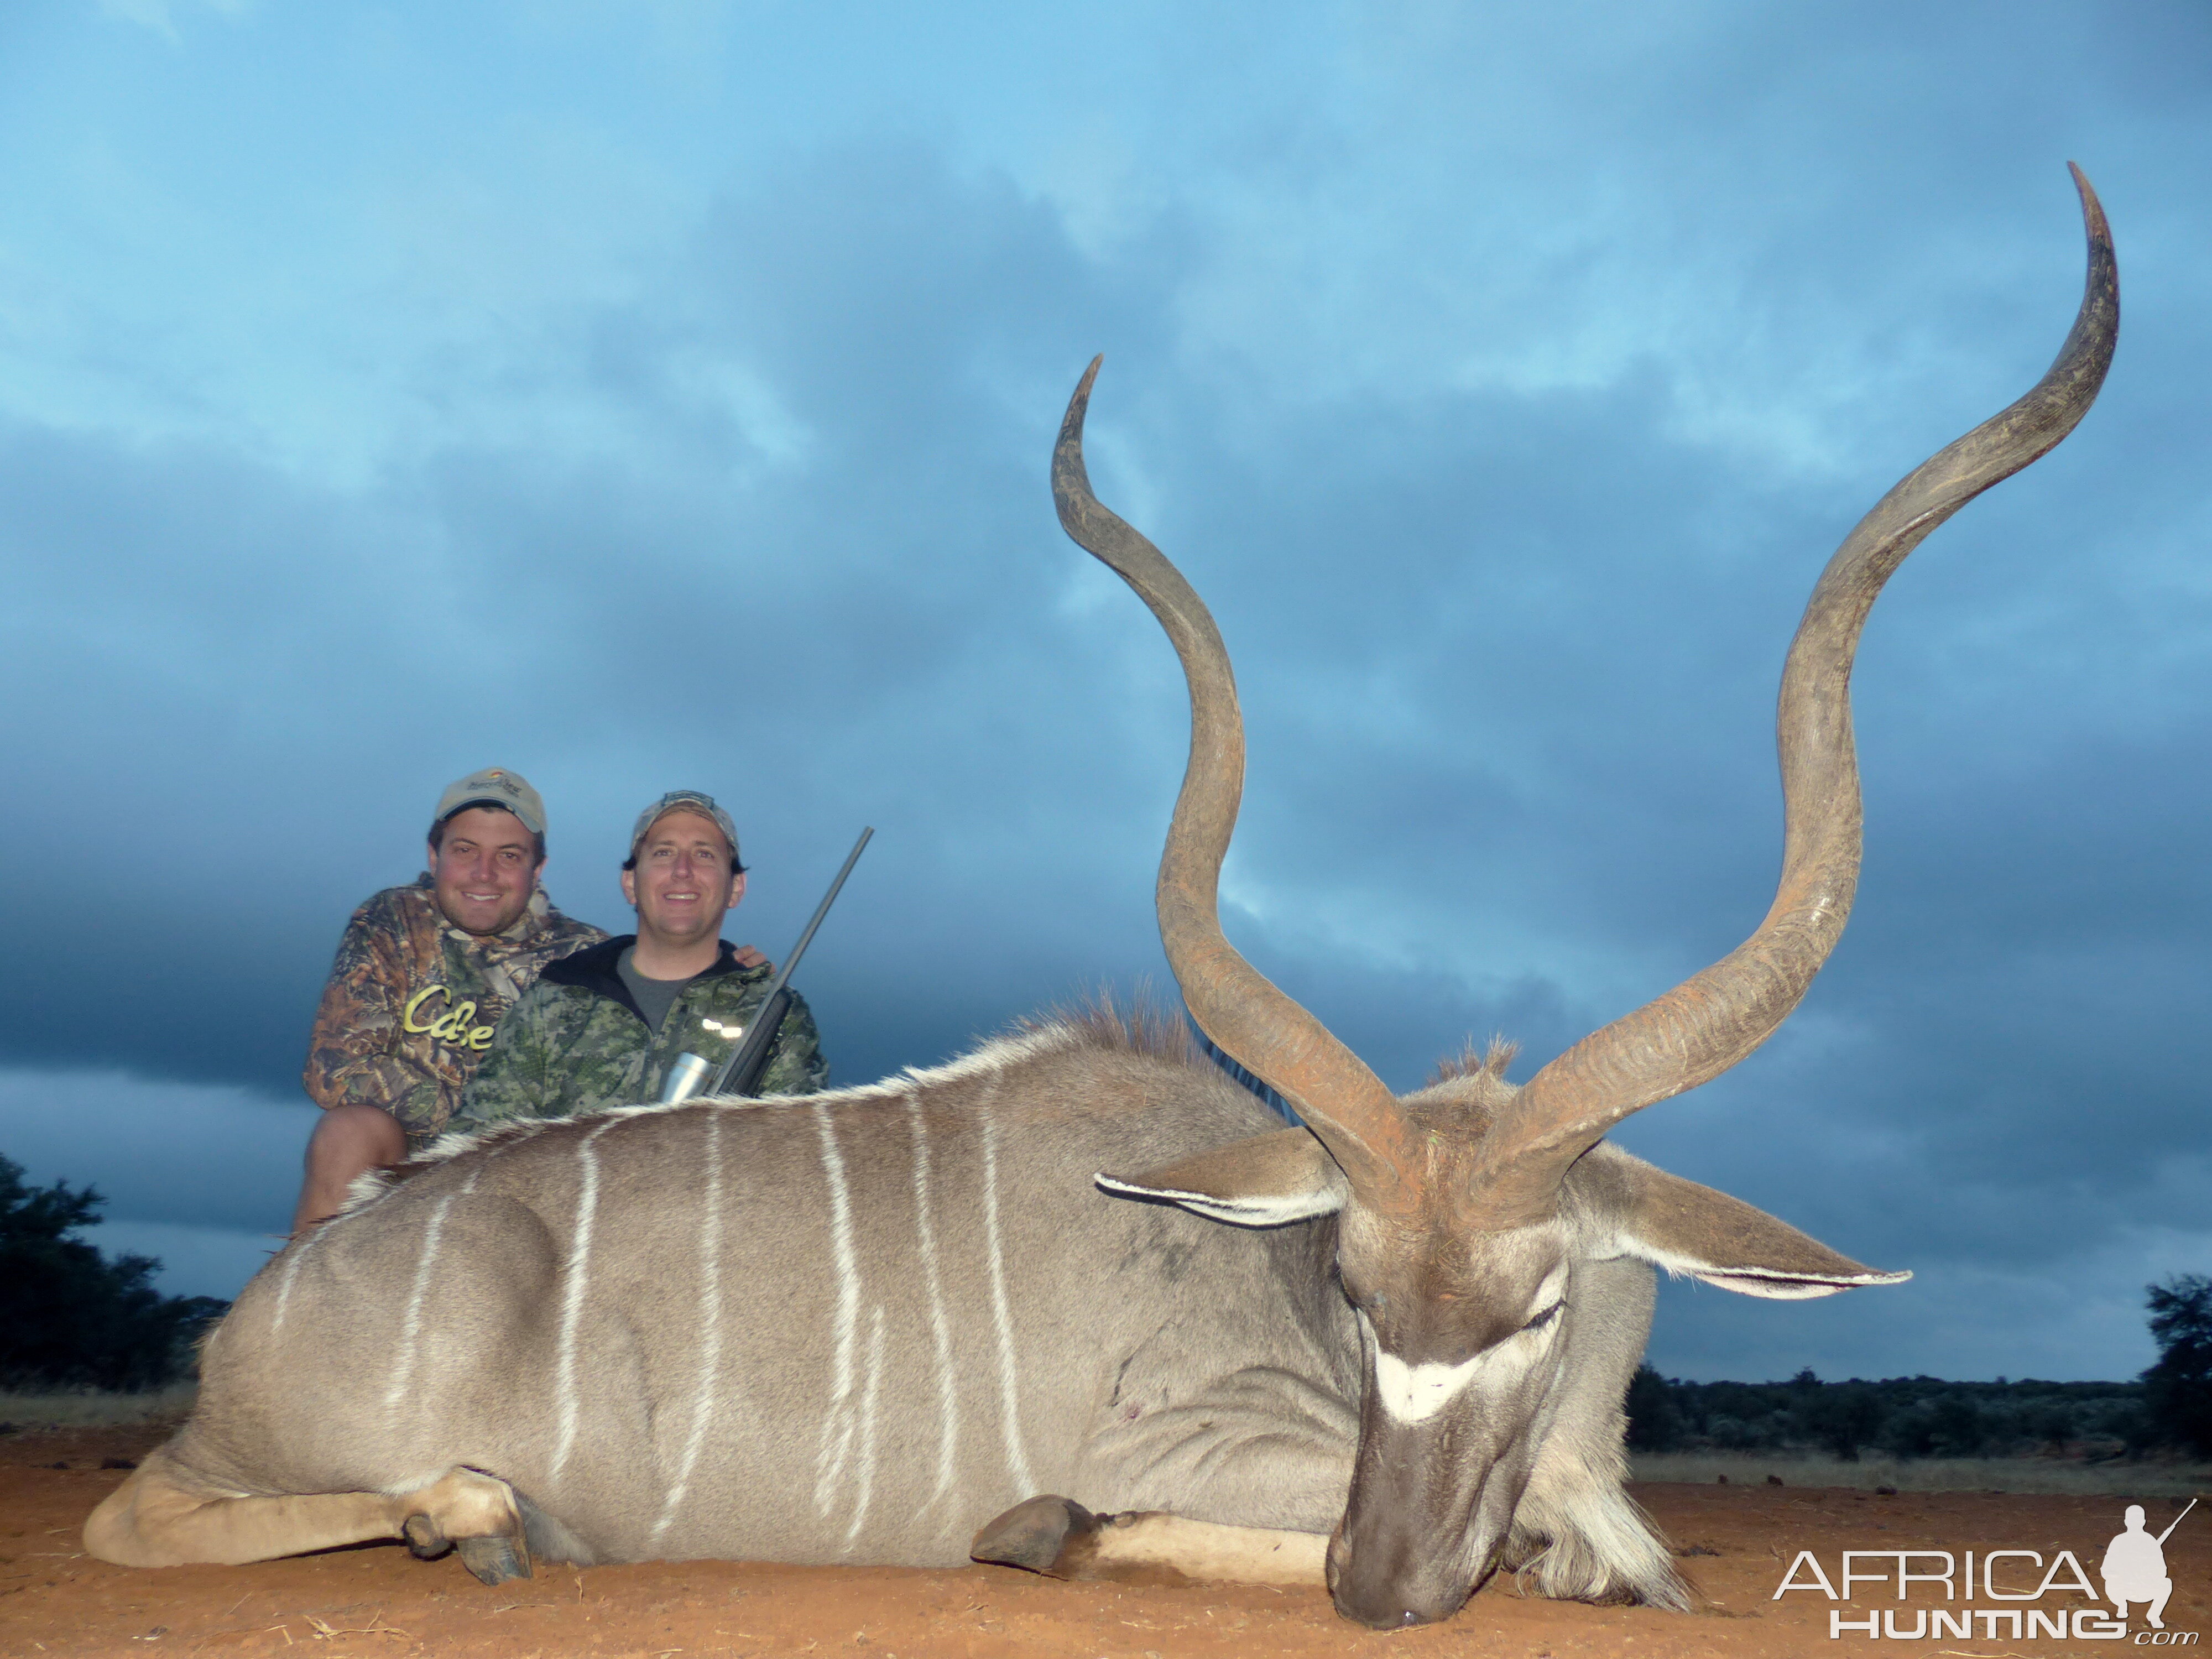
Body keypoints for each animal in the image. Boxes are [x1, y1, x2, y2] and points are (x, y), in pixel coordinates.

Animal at [91, 173, 2124, 1637]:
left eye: (1540, 1304)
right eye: (1356, 1288)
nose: (1383, 1590)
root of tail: (263, 1306)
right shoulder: (1222, 1453)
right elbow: (1536, 1544)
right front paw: (1053, 1531)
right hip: (248, 1465)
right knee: (137, 1517)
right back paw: (474, 1515)